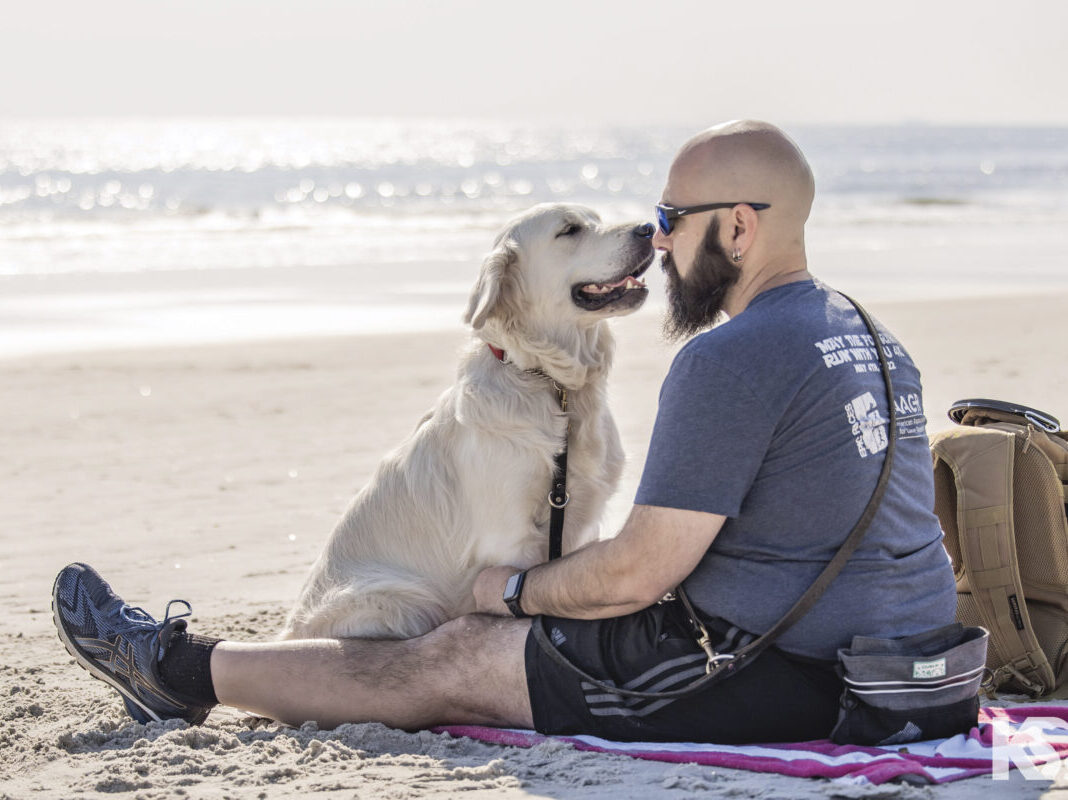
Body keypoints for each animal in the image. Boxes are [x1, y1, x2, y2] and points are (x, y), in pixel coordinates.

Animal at [279, 202, 653, 640]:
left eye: (596, 218)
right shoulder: (510, 540)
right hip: (403, 605)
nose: (649, 228)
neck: (552, 382)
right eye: (570, 230)